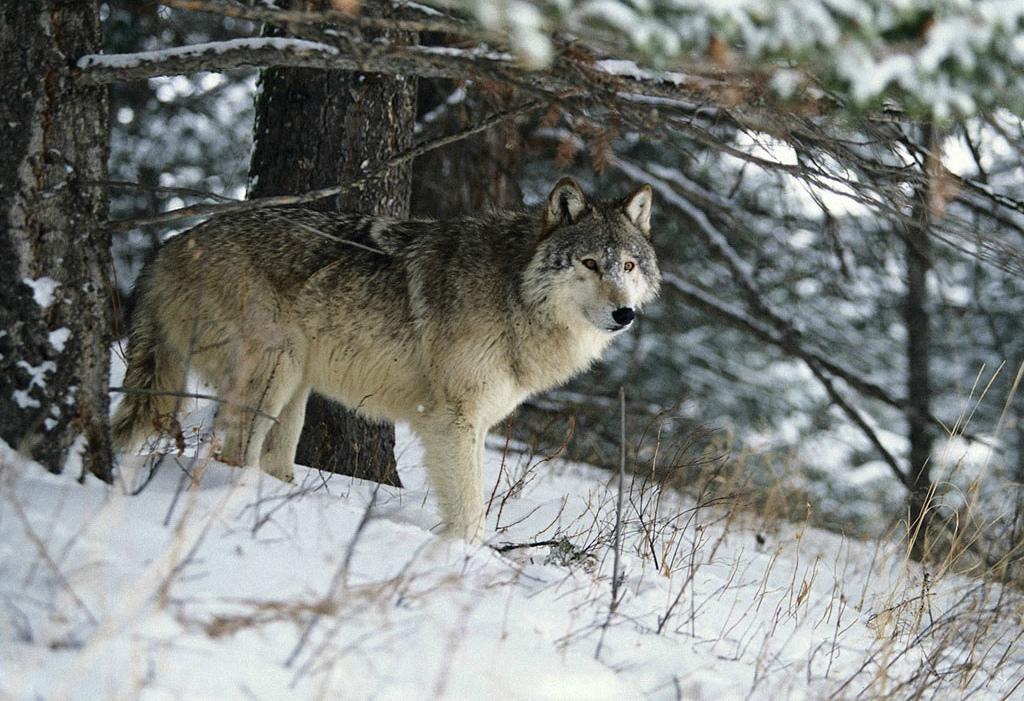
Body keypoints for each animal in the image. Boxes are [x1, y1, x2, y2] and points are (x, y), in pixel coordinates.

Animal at [108, 178, 659, 540]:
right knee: (231, 455)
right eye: (590, 263)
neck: (513, 290)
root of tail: (168, 245)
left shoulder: (475, 420)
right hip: (274, 372)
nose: (625, 313)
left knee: (269, 460)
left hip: (295, 387)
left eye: (629, 266)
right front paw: (468, 560)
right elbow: (471, 512)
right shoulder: (453, 420)